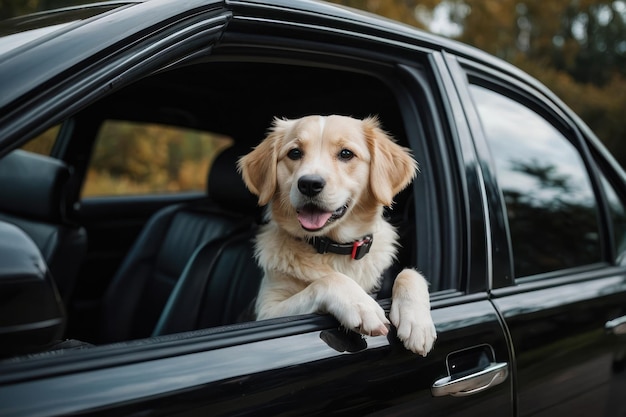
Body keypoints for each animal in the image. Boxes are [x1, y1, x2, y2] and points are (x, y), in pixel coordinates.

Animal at [236, 114, 436, 354]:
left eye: (346, 154)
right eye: (295, 153)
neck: (335, 248)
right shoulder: (267, 311)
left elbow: (410, 273)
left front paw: (418, 324)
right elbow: (328, 280)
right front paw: (361, 305)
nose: (309, 184)